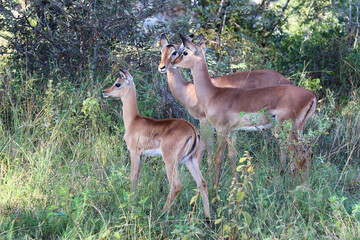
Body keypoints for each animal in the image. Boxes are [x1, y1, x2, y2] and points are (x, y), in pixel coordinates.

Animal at [102, 68, 210, 220]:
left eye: (118, 83)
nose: (104, 91)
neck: (133, 121)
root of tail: (193, 130)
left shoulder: (134, 153)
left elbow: (132, 178)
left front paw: (131, 207)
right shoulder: (142, 156)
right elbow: (137, 178)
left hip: (170, 161)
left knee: (176, 186)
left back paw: (160, 215)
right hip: (190, 160)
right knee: (202, 183)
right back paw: (208, 219)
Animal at [173, 34, 316, 184]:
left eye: (185, 52)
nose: (172, 63)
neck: (213, 94)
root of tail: (311, 95)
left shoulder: (221, 129)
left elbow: (219, 157)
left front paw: (215, 186)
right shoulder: (233, 131)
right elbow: (232, 156)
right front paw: (235, 184)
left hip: (288, 129)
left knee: (299, 154)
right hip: (297, 129)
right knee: (307, 152)